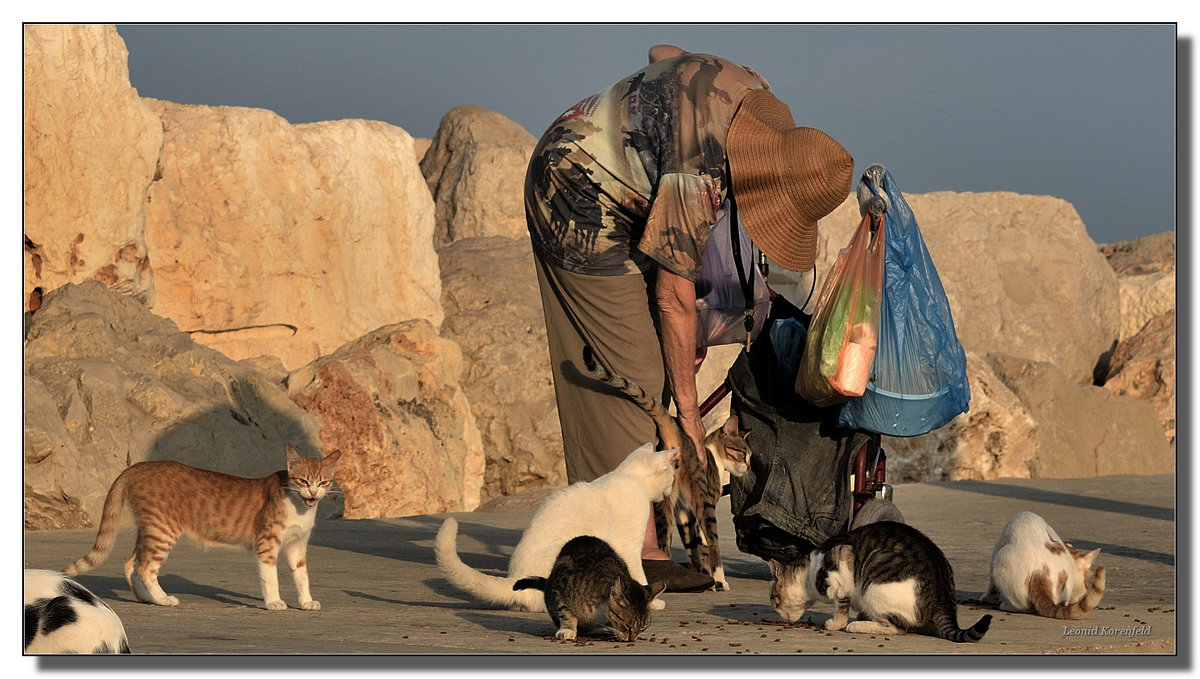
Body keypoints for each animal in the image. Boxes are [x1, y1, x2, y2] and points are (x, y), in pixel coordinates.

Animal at [63, 443, 340, 614]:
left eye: (323, 482)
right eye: (302, 480)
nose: (313, 493)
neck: (300, 506)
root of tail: (137, 466)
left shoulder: (297, 546)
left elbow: (302, 576)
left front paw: (306, 602)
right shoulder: (267, 543)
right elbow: (270, 577)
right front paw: (274, 602)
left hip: (148, 529)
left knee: (131, 564)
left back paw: (148, 599)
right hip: (163, 530)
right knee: (146, 568)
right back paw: (163, 599)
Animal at [434, 443, 681, 614]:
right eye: (672, 475)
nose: (670, 491)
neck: (628, 477)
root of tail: (515, 576)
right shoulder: (628, 548)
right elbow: (638, 574)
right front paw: (650, 600)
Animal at [513, 537, 672, 643]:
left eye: (643, 628)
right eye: (628, 625)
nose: (632, 639)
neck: (601, 611)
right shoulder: (562, 585)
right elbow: (566, 612)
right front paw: (568, 629)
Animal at [580, 345, 748, 590]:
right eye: (743, 454)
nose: (749, 468)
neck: (712, 453)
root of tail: (676, 434)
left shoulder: (684, 513)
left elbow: (695, 548)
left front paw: (703, 574)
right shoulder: (702, 504)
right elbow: (707, 546)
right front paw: (715, 580)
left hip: (664, 502)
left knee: (663, 542)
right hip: (698, 499)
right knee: (708, 541)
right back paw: (717, 579)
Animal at [772, 520, 988, 643]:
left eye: (773, 599)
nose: (776, 610)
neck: (810, 571)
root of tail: (943, 596)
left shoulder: (840, 575)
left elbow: (841, 608)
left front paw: (836, 624)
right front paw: (861, 616)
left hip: (874, 584)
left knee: (897, 628)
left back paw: (858, 626)